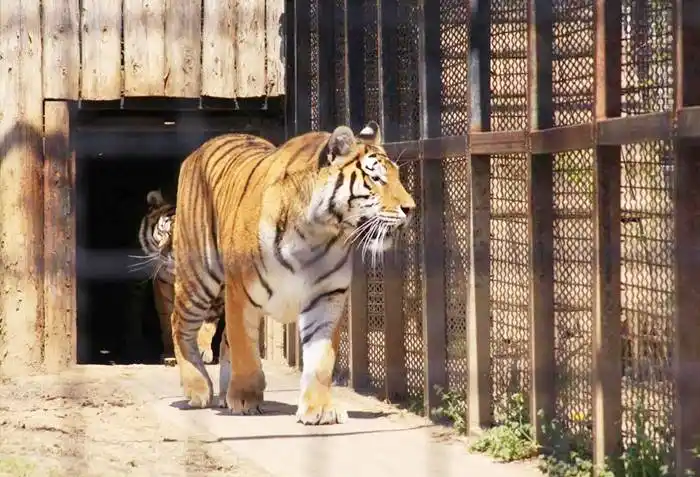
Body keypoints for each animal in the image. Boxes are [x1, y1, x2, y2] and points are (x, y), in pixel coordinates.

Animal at [137, 190, 221, 364]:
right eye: (164, 232)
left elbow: (208, 321)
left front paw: (202, 350)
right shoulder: (164, 284)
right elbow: (168, 320)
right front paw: (170, 354)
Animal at [170, 121, 415, 425]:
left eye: (397, 177)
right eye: (376, 179)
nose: (411, 208)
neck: (316, 234)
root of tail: (202, 148)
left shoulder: (327, 296)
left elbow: (321, 359)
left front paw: (319, 408)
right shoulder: (241, 292)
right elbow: (244, 349)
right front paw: (245, 398)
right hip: (199, 276)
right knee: (180, 324)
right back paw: (198, 388)